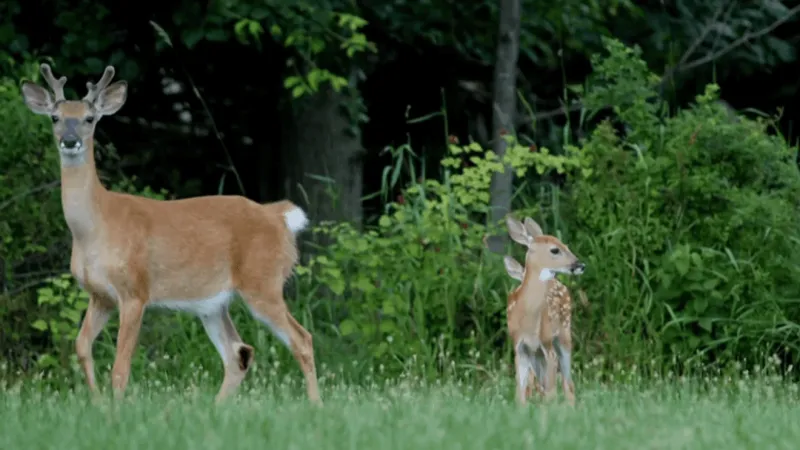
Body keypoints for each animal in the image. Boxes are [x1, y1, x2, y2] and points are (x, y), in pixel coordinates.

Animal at [20, 63, 321, 404]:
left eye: (89, 118)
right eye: (55, 118)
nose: (70, 141)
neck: (94, 228)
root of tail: (277, 216)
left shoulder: (135, 291)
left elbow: (121, 367)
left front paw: (115, 409)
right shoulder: (100, 296)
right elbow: (81, 346)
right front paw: (97, 404)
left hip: (263, 281)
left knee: (301, 339)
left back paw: (315, 405)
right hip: (213, 302)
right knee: (238, 353)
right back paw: (216, 408)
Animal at [503, 215, 585, 406]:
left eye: (566, 245)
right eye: (555, 250)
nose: (580, 265)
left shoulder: (547, 345)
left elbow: (551, 392)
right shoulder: (519, 346)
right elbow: (520, 394)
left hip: (563, 335)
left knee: (568, 385)